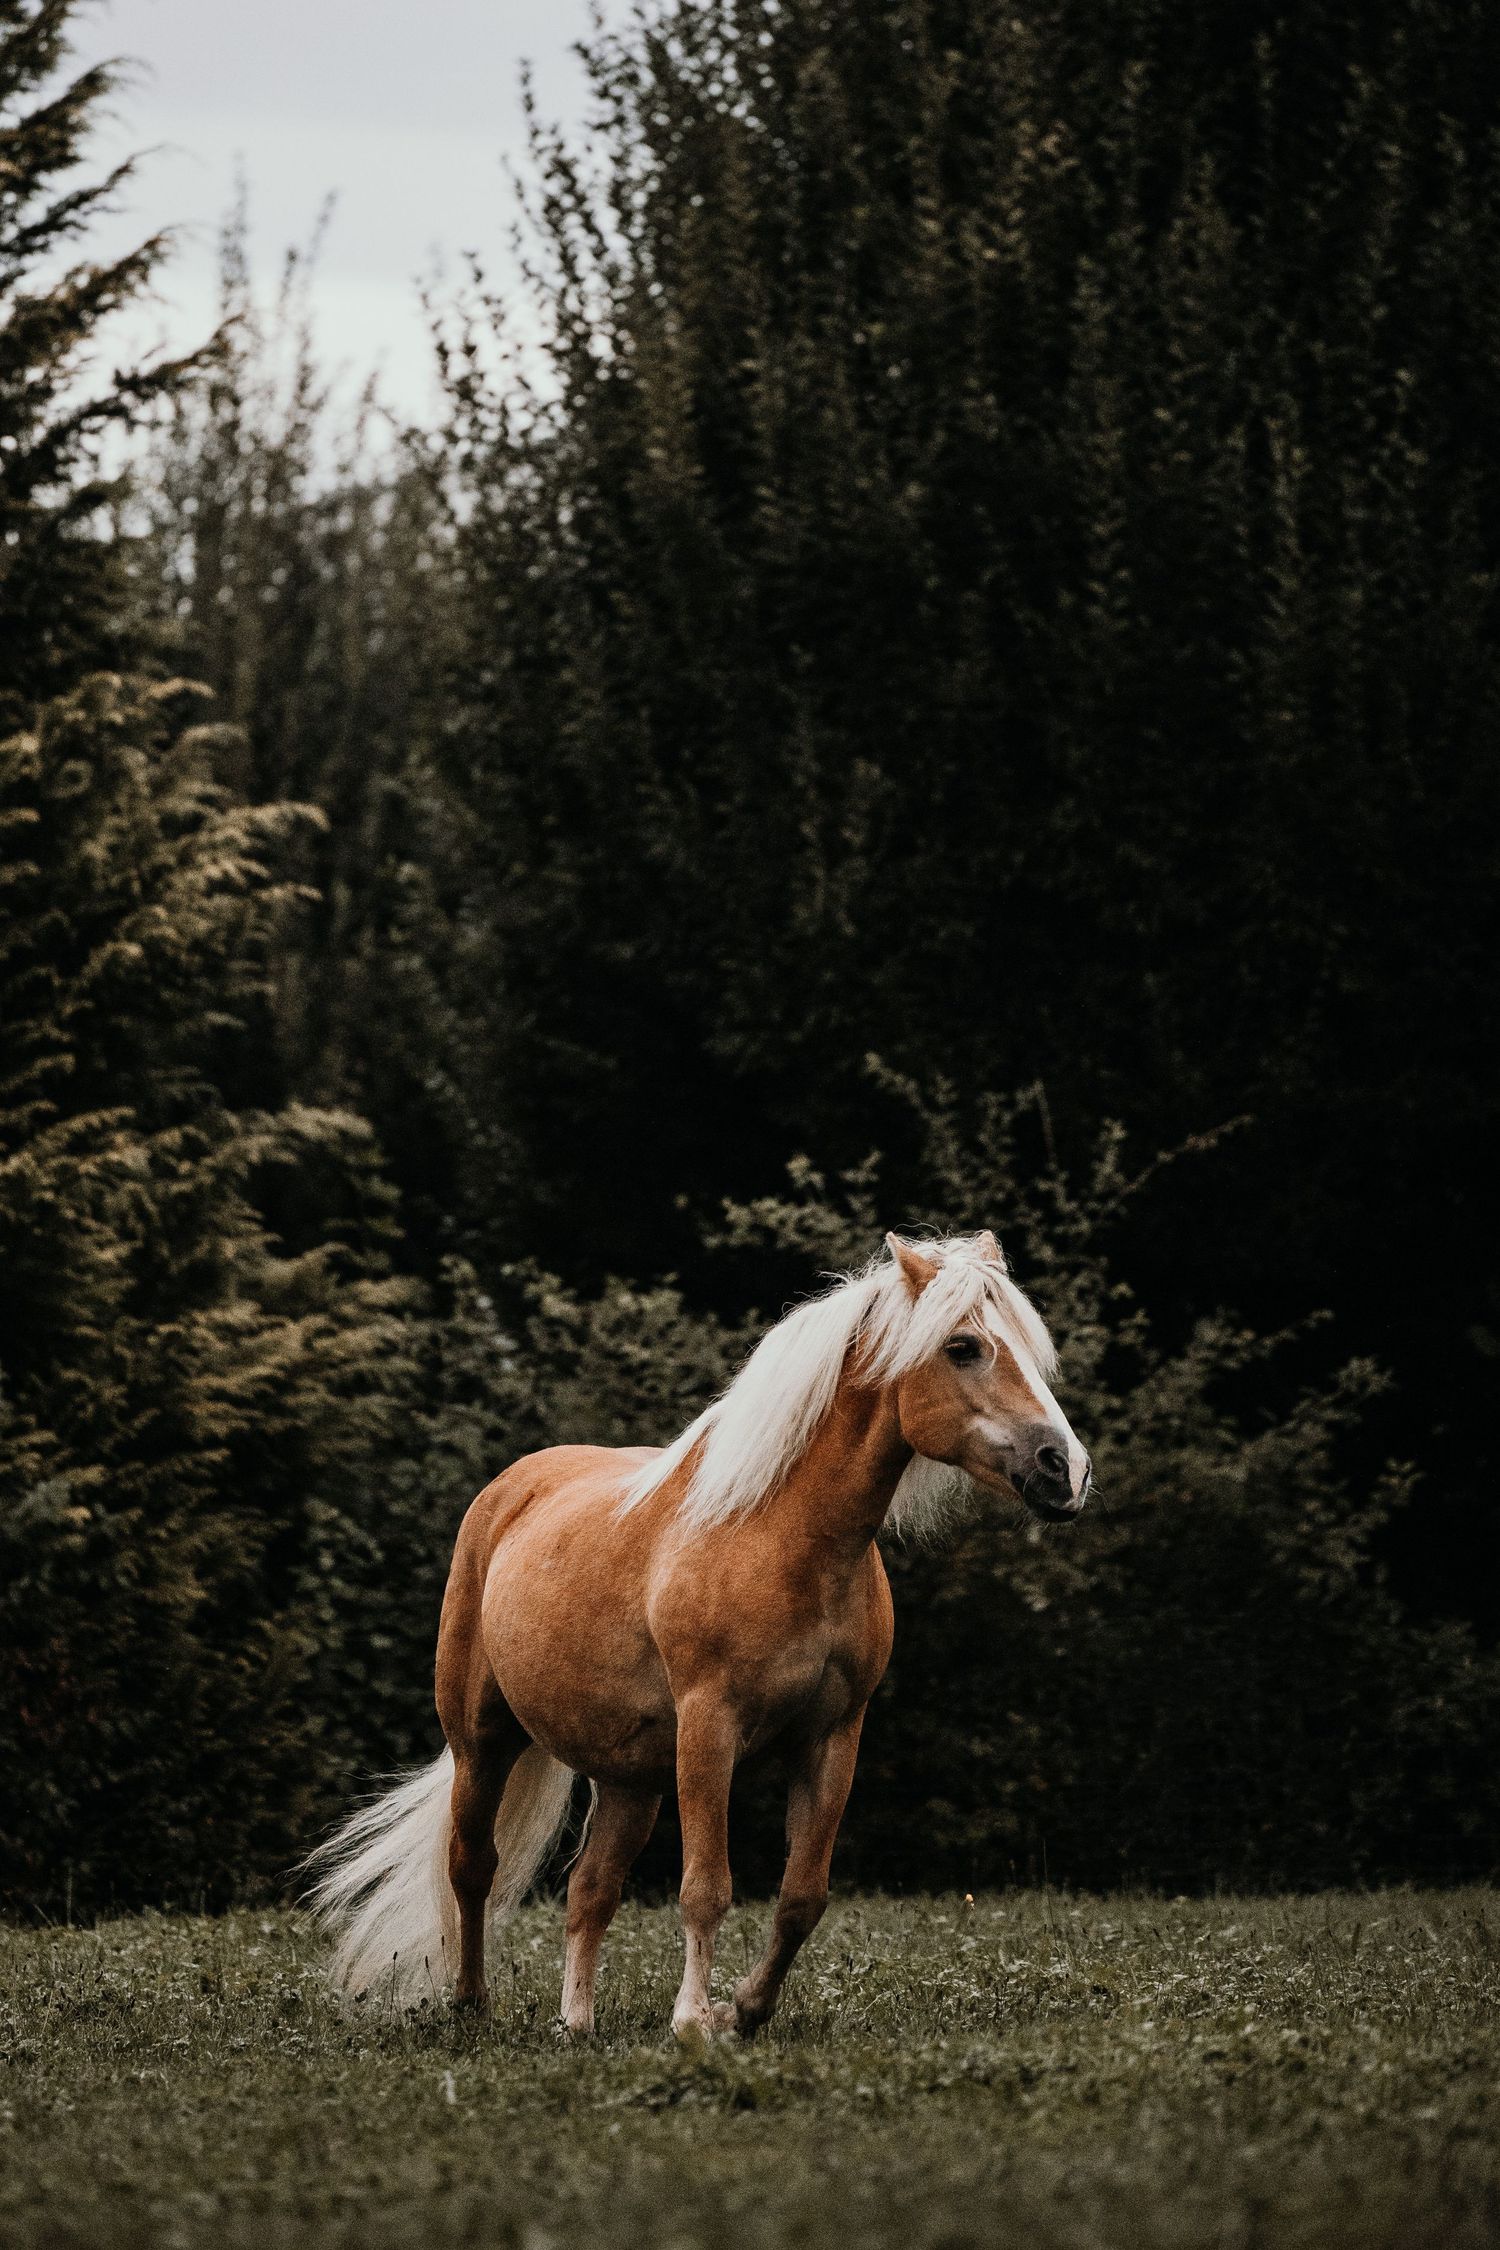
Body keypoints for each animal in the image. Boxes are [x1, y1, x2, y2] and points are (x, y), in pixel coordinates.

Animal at [309, 1229, 1090, 2043]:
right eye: (963, 1347)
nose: (1064, 1469)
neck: (783, 1537)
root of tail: (509, 1491)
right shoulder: (709, 1726)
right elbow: (706, 1886)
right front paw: (692, 2019)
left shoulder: (833, 1737)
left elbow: (802, 1895)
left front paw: (743, 2010)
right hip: (481, 1739)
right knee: (471, 1865)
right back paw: (470, 2004)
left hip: (631, 1777)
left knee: (590, 1888)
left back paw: (576, 2023)